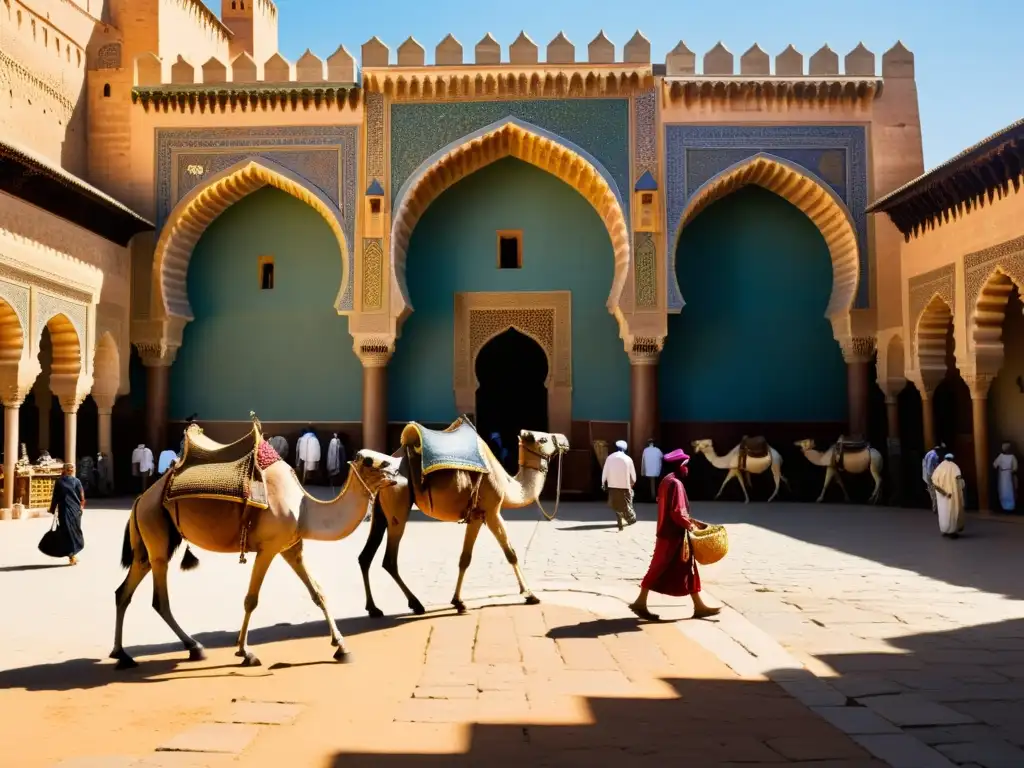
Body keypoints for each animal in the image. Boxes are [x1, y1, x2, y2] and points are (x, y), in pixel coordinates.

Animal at [110, 411, 397, 671]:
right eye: (372, 461)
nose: (396, 467)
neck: (303, 508)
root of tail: (140, 499)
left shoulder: (292, 548)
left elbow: (318, 593)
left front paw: (341, 647)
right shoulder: (268, 548)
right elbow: (251, 599)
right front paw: (245, 652)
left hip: (151, 541)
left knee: (124, 590)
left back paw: (125, 655)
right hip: (155, 529)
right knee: (159, 599)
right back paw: (191, 647)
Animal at [358, 415, 569, 618]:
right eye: (543, 438)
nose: (564, 440)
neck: (507, 483)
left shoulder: (476, 515)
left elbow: (464, 558)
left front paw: (458, 602)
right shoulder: (490, 511)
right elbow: (509, 553)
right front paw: (530, 595)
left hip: (380, 511)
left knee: (365, 556)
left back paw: (374, 609)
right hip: (398, 507)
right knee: (389, 560)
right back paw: (415, 604)